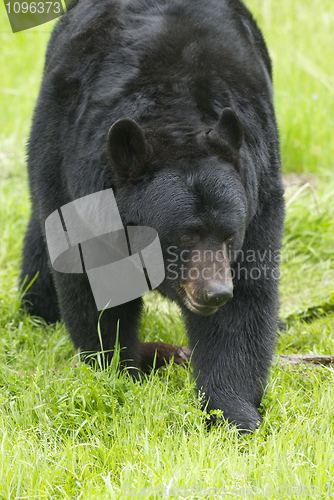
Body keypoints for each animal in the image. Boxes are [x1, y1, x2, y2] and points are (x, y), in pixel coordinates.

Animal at [19, 0, 284, 434]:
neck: (173, 113)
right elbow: (94, 283)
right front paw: (116, 376)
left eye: (229, 236)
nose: (215, 292)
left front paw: (233, 413)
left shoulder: (257, 188)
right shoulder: (75, 176)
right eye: (187, 235)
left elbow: (245, 302)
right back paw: (37, 308)